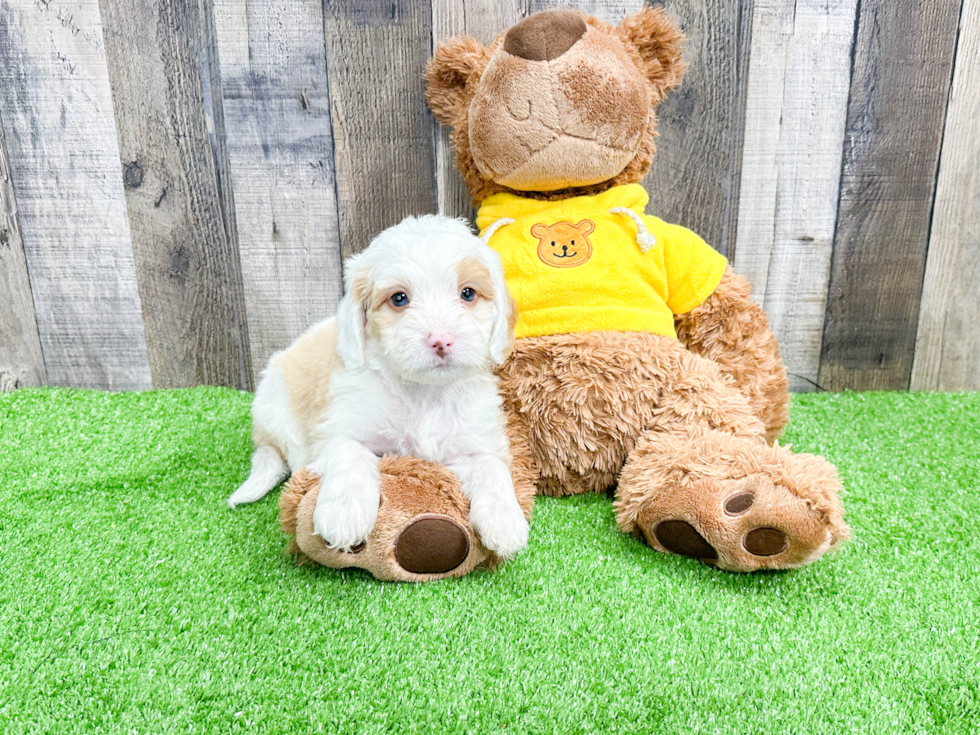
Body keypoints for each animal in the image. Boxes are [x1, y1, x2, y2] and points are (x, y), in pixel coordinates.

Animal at [227, 216, 532, 560]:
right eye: (399, 298)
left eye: (468, 293)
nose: (441, 339)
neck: (426, 393)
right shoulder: (338, 427)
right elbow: (350, 452)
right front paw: (344, 512)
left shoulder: (474, 439)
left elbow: (491, 466)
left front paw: (506, 520)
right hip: (277, 404)